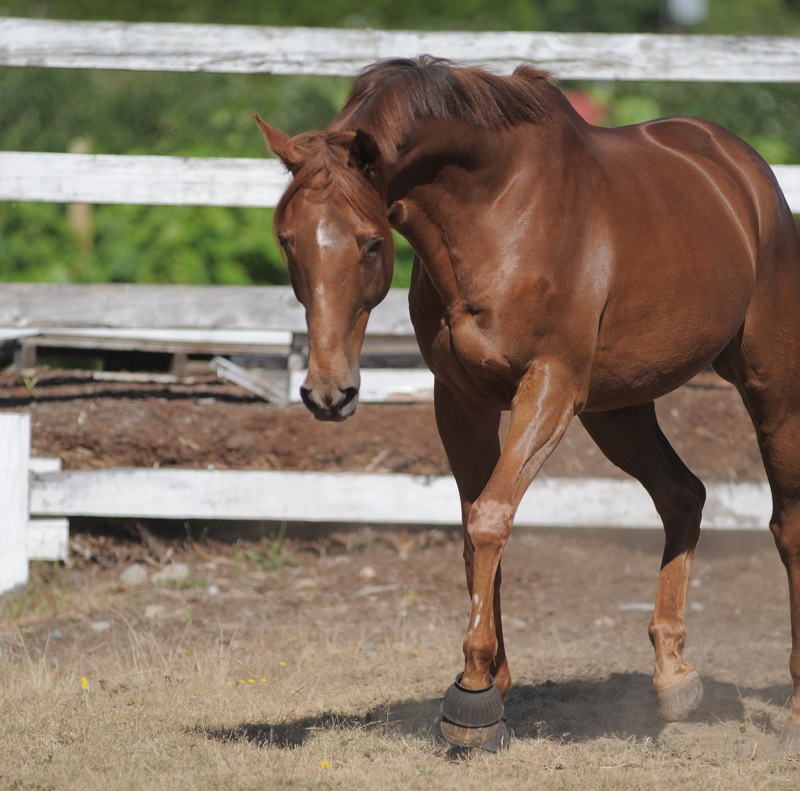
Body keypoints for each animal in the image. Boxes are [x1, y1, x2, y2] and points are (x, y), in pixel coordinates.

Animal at [255, 56, 800, 752]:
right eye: (287, 240)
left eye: (370, 242)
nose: (328, 393)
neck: (495, 213)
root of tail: (740, 169)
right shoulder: (461, 401)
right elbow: (473, 527)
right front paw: (491, 684)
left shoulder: (549, 386)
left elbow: (491, 517)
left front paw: (472, 696)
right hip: (619, 410)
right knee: (683, 496)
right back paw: (674, 677)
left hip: (769, 387)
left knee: (785, 525)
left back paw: (791, 702)